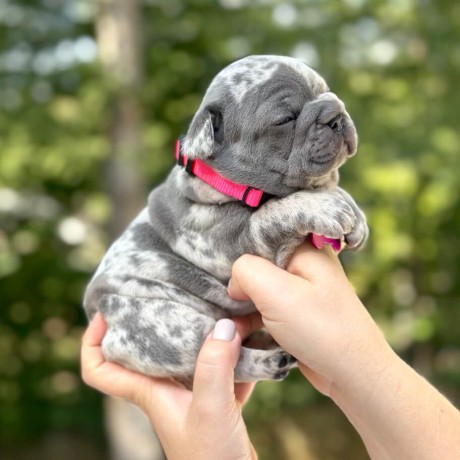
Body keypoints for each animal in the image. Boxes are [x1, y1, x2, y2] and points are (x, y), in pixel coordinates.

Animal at [83, 56, 370, 388]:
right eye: (285, 119)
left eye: (327, 92)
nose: (335, 112)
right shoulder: (237, 243)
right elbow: (275, 212)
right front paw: (323, 207)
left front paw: (354, 215)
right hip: (165, 327)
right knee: (225, 358)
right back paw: (271, 360)